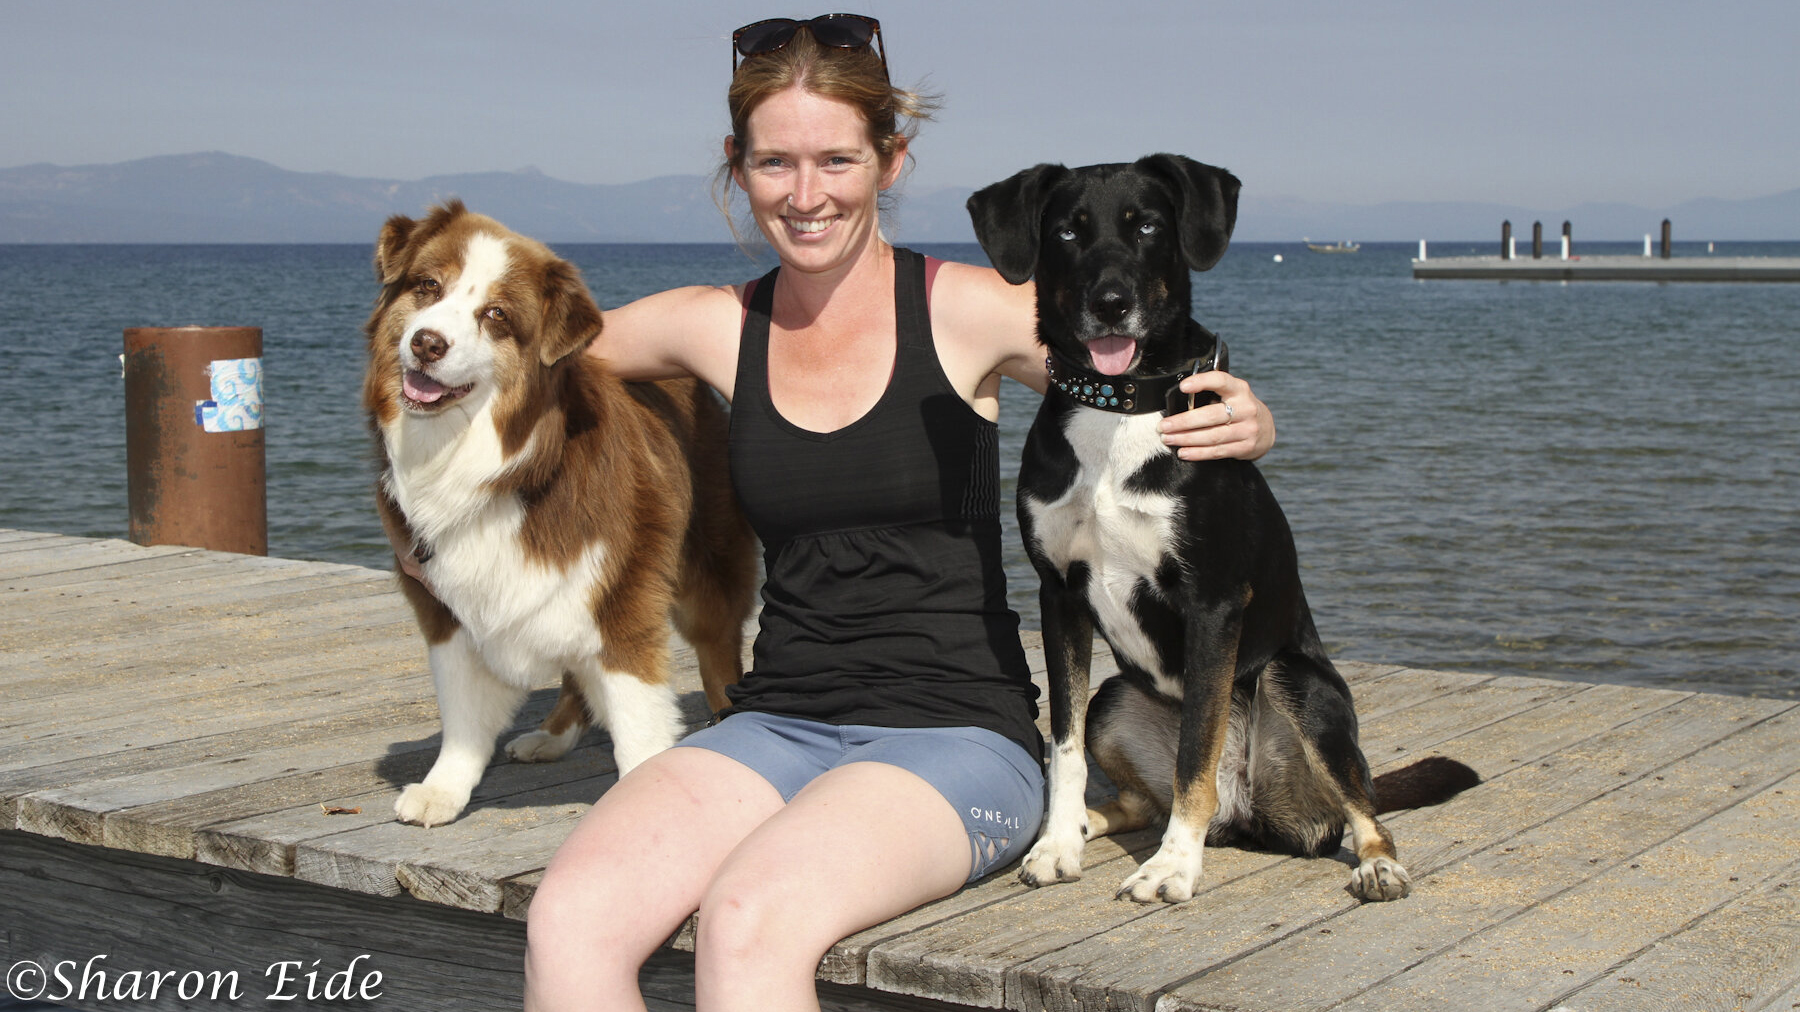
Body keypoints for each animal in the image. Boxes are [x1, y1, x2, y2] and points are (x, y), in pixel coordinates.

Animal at [361, 200, 756, 824]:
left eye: (496, 315)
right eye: (427, 286)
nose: (427, 343)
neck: (506, 469)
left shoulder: (623, 598)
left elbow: (637, 723)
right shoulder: (444, 606)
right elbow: (463, 712)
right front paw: (445, 787)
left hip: (704, 578)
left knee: (718, 661)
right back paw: (553, 735)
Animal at [972, 155, 1476, 896]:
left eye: (1147, 227)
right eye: (1067, 233)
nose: (1111, 302)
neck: (1119, 410)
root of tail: (1249, 809)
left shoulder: (1212, 601)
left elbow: (1195, 754)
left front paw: (1173, 867)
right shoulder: (1059, 594)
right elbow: (1063, 746)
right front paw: (1058, 843)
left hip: (1299, 685)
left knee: (1361, 803)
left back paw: (1377, 863)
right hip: (1115, 698)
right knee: (1138, 796)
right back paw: (1092, 824)